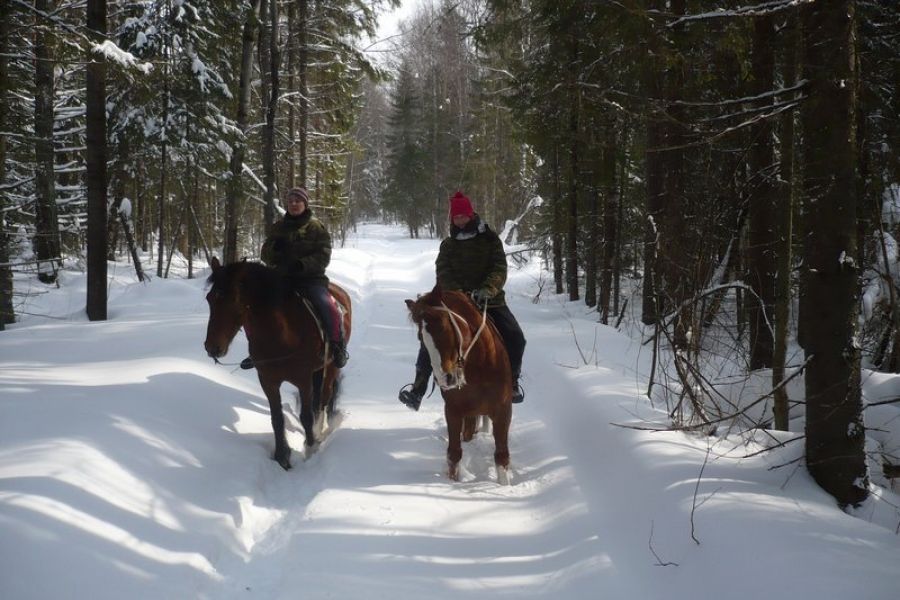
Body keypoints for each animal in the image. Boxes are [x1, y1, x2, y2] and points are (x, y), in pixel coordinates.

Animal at [205, 256, 352, 468]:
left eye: (234, 300)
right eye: (209, 298)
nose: (212, 348)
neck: (282, 336)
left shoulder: (303, 380)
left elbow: (306, 417)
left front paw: (310, 449)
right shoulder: (268, 381)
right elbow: (276, 418)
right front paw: (282, 457)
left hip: (331, 366)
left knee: (324, 398)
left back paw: (319, 431)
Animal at [404, 284, 510, 486]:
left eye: (444, 327)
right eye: (421, 337)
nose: (445, 379)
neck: (479, 365)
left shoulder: (502, 411)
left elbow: (502, 457)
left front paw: (504, 487)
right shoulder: (453, 410)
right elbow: (453, 454)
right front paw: (452, 482)